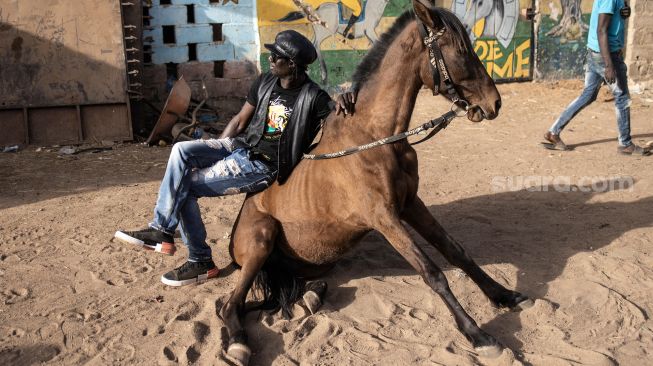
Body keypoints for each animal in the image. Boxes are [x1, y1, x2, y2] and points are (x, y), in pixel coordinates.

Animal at [219, 1, 528, 364]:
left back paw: (310, 298)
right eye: (462, 51)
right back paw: (238, 342)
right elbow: (433, 273)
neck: (377, 137)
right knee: (230, 305)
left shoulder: (411, 205)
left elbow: (457, 252)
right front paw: (479, 335)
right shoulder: (384, 217)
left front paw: (503, 295)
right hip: (262, 239)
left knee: (286, 290)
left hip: (314, 265)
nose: (494, 103)